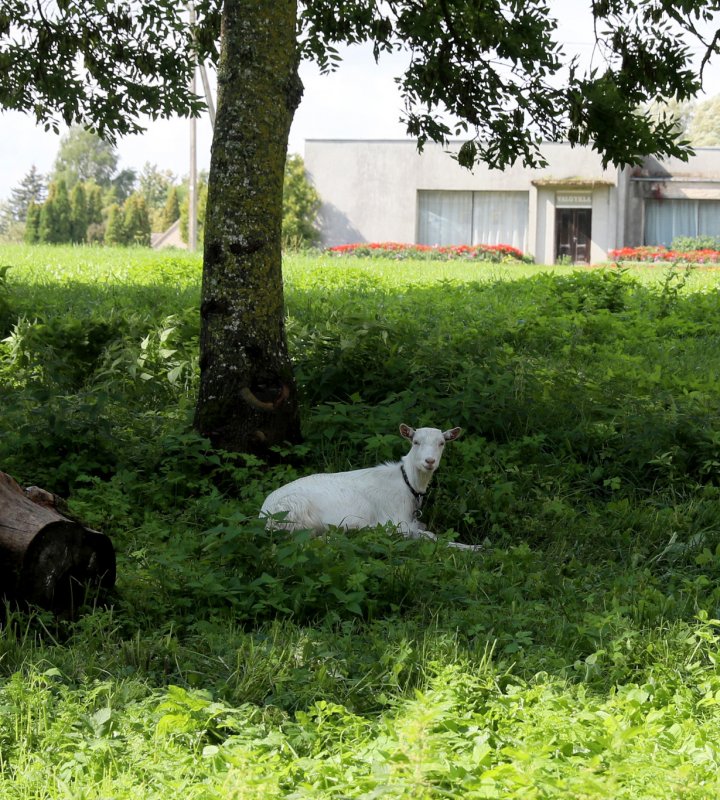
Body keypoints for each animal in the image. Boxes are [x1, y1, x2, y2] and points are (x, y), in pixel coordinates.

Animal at [260, 424, 480, 550]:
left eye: (442, 443)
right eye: (415, 442)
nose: (429, 461)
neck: (407, 482)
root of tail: (263, 516)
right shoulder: (395, 522)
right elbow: (428, 537)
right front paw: (475, 548)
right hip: (296, 512)